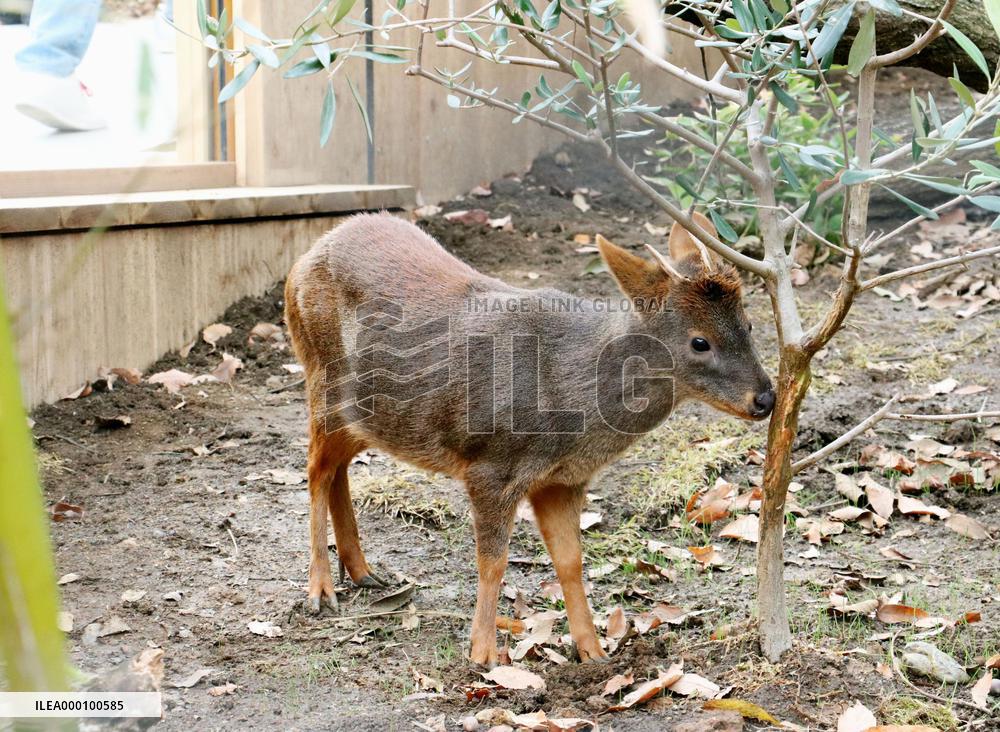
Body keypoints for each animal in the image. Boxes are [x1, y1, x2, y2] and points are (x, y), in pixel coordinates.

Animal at [284, 210, 774, 667]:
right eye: (699, 342)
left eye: (748, 325)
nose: (766, 398)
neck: (572, 404)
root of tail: (302, 262)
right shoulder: (490, 466)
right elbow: (493, 560)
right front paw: (483, 653)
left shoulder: (563, 480)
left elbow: (571, 562)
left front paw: (594, 653)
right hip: (323, 383)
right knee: (314, 469)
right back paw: (321, 589)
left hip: (371, 418)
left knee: (336, 468)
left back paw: (361, 571)